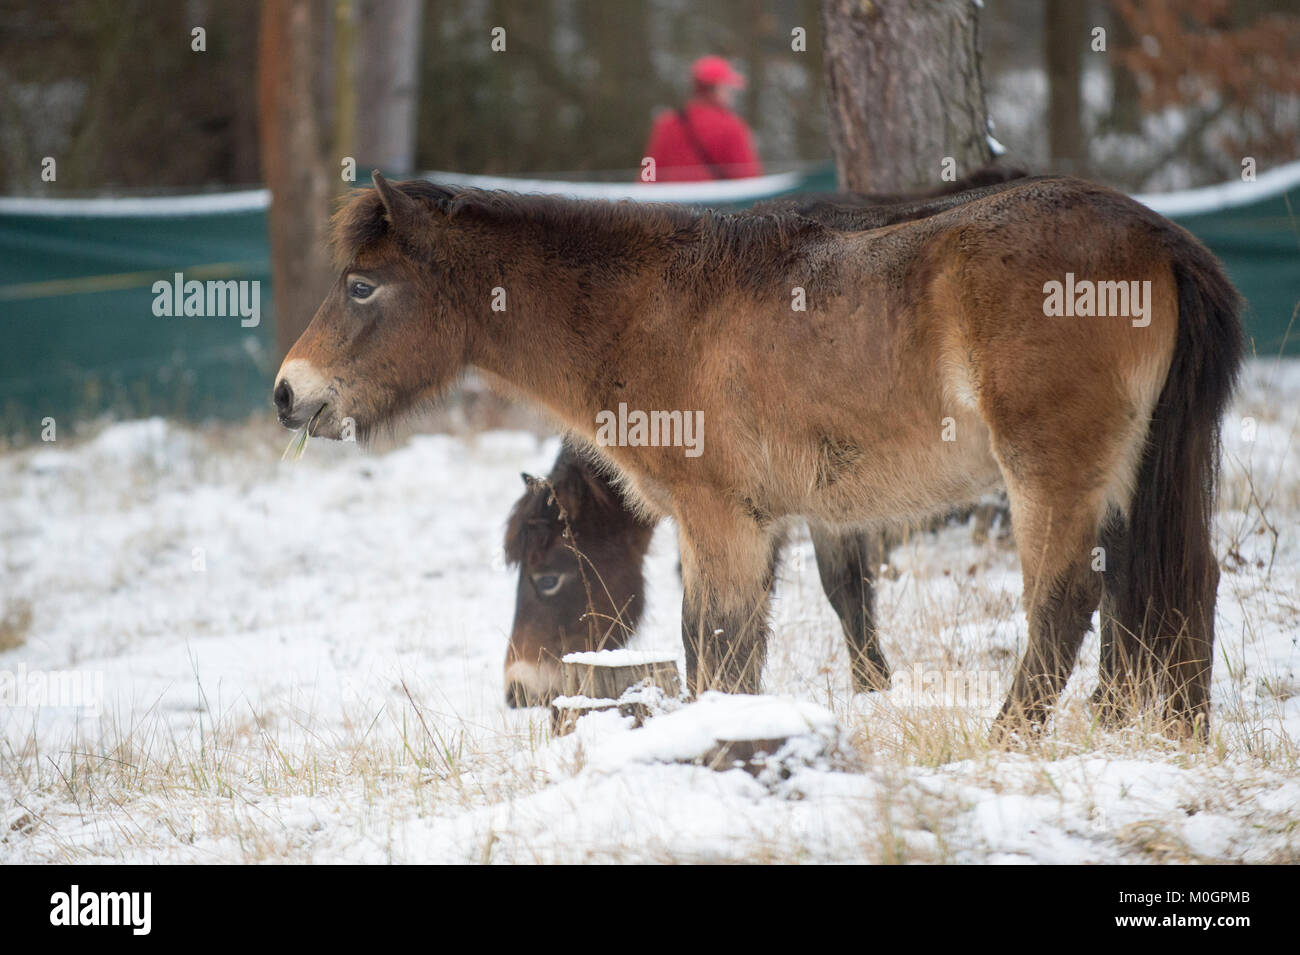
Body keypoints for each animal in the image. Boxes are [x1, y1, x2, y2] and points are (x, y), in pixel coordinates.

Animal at [274, 171, 1237, 738]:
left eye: (361, 286)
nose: (288, 392)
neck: (652, 309)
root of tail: (1158, 238)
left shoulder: (723, 521)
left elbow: (722, 652)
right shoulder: (771, 521)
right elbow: (749, 638)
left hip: (1052, 475)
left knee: (1066, 604)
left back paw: (1007, 741)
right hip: (1135, 472)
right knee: (1176, 580)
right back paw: (1163, 734)